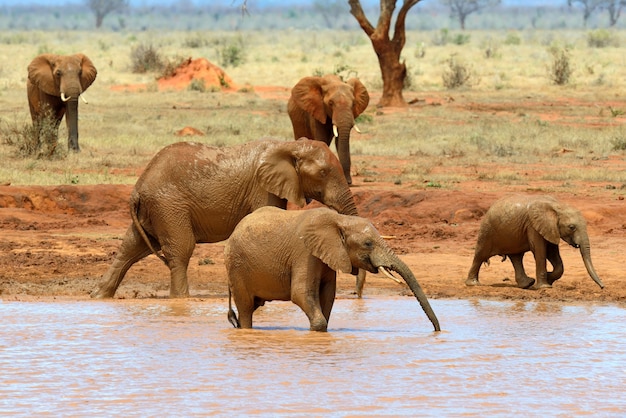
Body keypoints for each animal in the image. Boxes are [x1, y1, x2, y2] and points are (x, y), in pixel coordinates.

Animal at [90, 139, 358, 298]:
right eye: (322, 173)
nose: (357, 293)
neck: (289, 145)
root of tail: (137, 187)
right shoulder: (262, 187)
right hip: (168, 206)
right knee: (180, 250)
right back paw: (182, 300)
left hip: (154, 210)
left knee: (130, 247)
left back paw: (99, 296)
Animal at [224, 207, 438, 334]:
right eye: (368, 244)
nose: (437, 330)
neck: (339, 220)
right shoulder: (305, 252)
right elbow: (300, 293)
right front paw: (317, 331)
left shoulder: (327, 257)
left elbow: (328, 294)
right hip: (236, 266)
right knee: (245, 308)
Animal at [464, 193, 604, 290]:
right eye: (571, 227)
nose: (603, 287)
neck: (557, 206)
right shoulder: (533, 226)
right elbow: (540, 251)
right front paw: (545, 286)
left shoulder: (550, 228)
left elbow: (553, 253)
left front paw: (549, 277)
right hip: (487, 230)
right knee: (480, 255)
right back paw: (473, 284)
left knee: (516, 258)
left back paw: (527, 284)